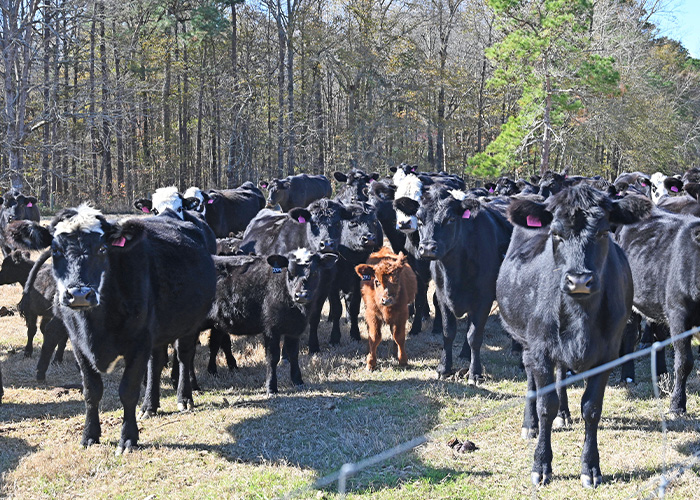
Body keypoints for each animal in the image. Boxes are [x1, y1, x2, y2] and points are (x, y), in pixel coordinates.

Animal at [8, 205, 216, 452]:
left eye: (102, 248)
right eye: (56, 250)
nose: (79, 294)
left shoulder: (138, 342)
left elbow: (128, 391)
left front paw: (128, 438)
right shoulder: (79, 345)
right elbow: (91, 391)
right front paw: (89, 435)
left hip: (189, 323)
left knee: (184, 356)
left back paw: (184, 398)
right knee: (155, 363)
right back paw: (150, 405)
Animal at [394, 186, 516, 380]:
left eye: (451, 219)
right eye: (419, 219)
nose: (427, 248)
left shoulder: (484, 298)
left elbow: (475, 336)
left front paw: (475, 372)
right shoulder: (443, 296)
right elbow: (448, 332)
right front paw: (444, 368)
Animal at [498, 186, 652, 486]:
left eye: (603, 232)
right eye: (556, 233)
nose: (579, 281)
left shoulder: (607, 354)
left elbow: (591, 408)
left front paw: (590, 467)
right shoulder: (540, 349)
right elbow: (546, 404)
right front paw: (541, 464)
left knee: (561, 375)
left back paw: (564, 414)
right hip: (526, 341)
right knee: (532, 378)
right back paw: (530, 424)